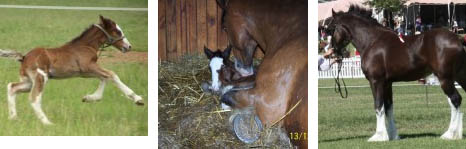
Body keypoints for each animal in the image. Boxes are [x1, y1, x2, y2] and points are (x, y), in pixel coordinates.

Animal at [0, 15, 144, 124]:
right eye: (117, 31)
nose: (129, 46)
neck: (85, 46)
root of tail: (24, 57)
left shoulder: (85, 72)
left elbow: (104, 77)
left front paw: (90, 98)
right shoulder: (89, 67)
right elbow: (111, 74)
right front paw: (137, 99)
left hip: (29, 82)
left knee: (12, 87)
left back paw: (13, 118)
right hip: (41, 78)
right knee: (34, 98)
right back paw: (47, 123)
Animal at [328, 5, 466, 141]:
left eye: (330, 28)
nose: (333, 51)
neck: (372, 41)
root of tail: (458, 39)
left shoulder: (376, 81)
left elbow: (378, 105)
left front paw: (379, 135)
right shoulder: (387, 84)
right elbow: (388, 107)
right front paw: (392, 135)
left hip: (445, 78)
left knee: (455, 100)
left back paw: (450, 134)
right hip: (459, 76)